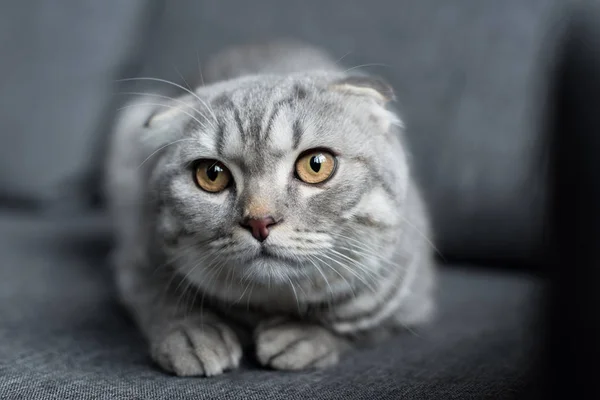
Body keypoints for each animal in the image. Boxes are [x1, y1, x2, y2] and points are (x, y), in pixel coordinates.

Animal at [104, 40, 436, 378]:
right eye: (211, 173)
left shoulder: (411, 297)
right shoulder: (138, 261)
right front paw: (194, 335)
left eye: (316, 164)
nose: (260, 221)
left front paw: (302, 335)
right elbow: (163, 299)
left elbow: (360, 327)